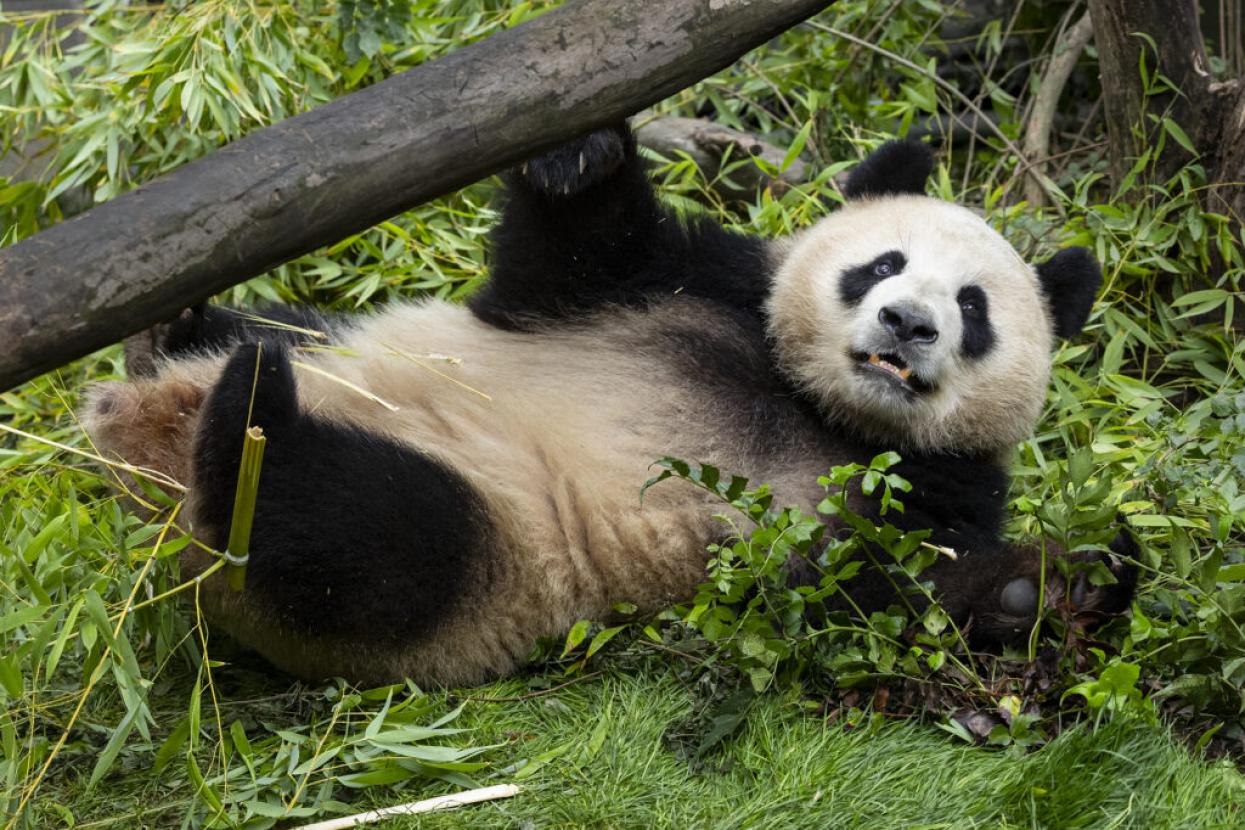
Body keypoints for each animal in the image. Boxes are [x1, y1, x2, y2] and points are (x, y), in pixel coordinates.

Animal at [84, 124, 1134, 687]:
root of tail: (146, 450)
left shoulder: (927, 486)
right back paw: (179, 336)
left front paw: (1049, 587)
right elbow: (568, 260)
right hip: (335, 346)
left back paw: (246, 430)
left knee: (360, 536)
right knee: (276, 344)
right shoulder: (692, 286)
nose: (909, 322)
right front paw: (581, 154)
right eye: (882, 264)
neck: (816, 405)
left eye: (974, 309)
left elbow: (860, 597)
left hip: (490, 560)